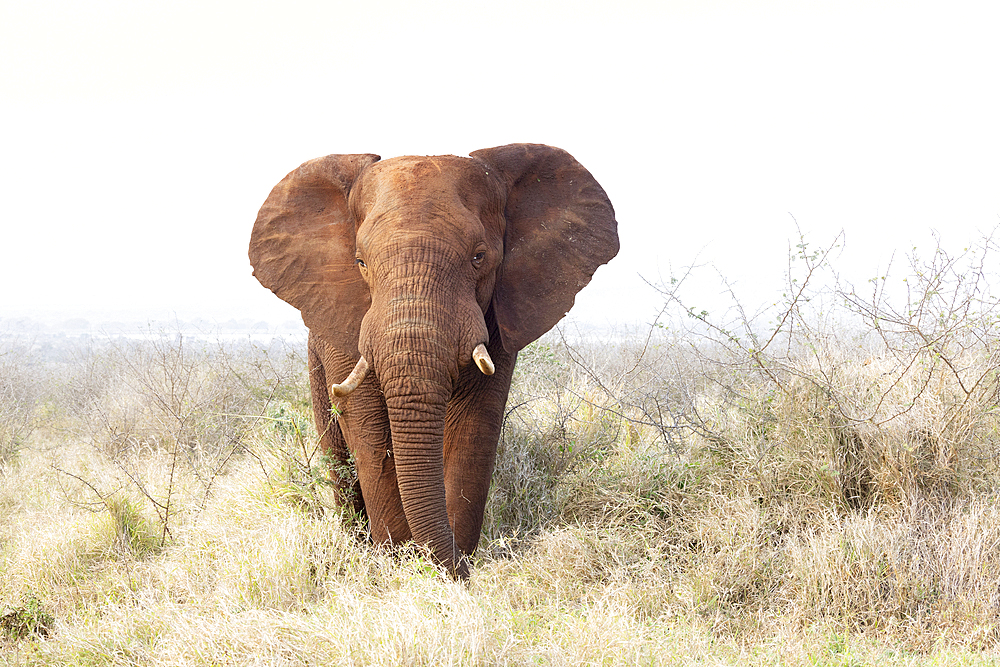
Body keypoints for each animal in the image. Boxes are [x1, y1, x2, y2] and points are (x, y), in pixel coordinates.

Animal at [248, 144, 616, 576]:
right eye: (360, 263)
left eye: (479, 257)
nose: (449, 562)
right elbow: (368, 429)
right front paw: (396, 565)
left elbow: (474, 425)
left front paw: (449, 573)